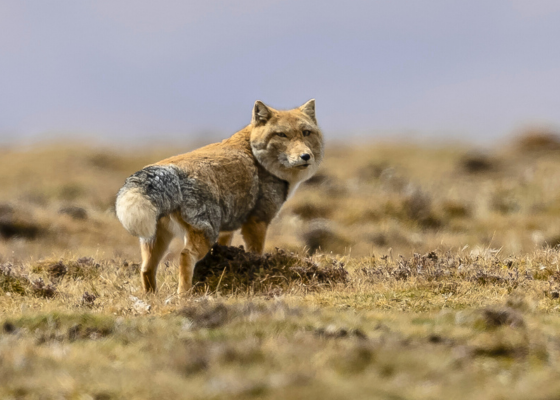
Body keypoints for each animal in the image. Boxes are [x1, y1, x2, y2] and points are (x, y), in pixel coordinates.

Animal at [115, 100, 324, 294]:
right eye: (282, 135)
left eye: (306, 133)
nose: (306, 156)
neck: (256, 155)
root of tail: (170, 169)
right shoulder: (257, 222)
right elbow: (255, 254)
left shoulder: (227, 231)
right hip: (205, 235)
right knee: (184, 256)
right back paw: (185, 295)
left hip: (156, 240)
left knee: (145, 269)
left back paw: (151, 297)